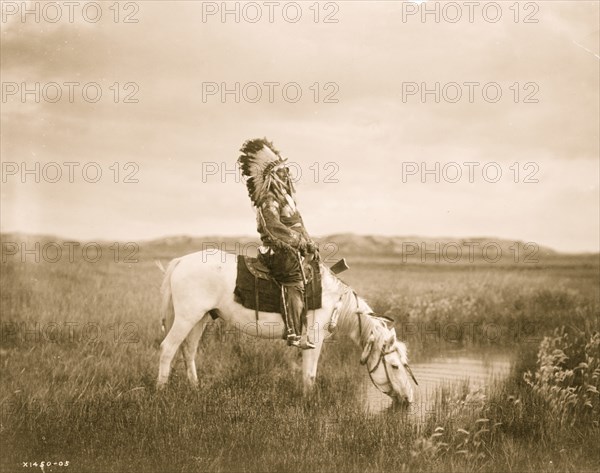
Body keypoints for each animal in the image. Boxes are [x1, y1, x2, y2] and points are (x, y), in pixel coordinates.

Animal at [157, 251, 414, 402]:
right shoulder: (314, 338)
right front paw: (309, 403)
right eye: (395, 366)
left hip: (199, 318)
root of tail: (181, 261)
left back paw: (195, 389)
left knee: (188, 351)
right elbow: (310, 374)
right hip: (186, 317)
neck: (335, 300)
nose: (409, 399)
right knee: (168, 349)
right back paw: (161, 391)